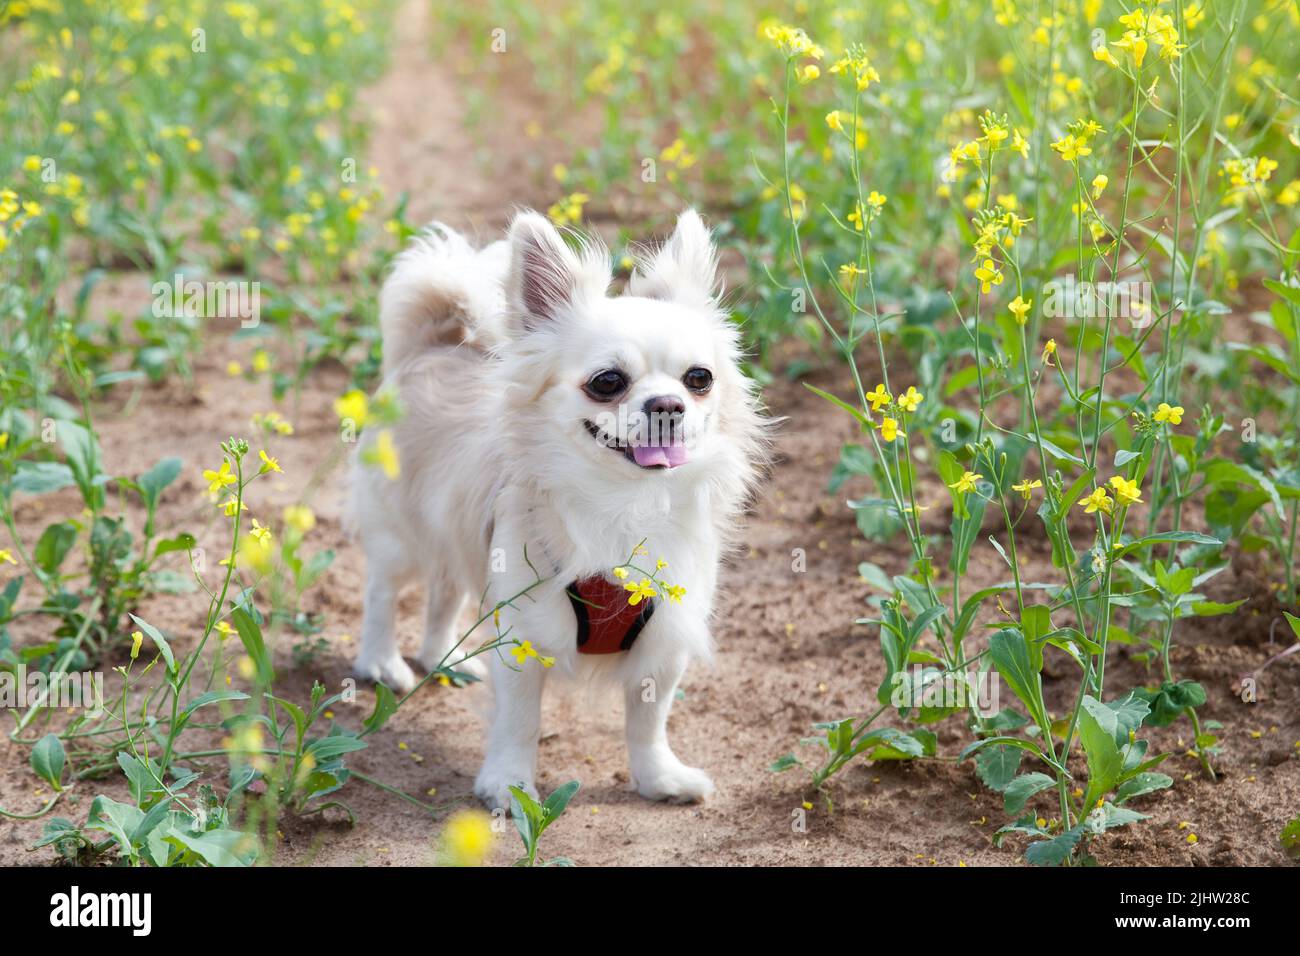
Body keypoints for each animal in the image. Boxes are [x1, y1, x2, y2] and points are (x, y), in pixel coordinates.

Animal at [351, 208, 764, 806]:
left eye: (699, 379)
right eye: (607, 382)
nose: (669, 404)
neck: (624, 505)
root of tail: (434, 345)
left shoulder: (664, 644)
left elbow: (648, 720)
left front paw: (659, 778)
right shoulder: (525, 639)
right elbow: (519, 721)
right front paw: (510, 787)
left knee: (445, 592)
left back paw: (444, 659)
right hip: (399, 536)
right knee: (383, 593)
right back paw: (382, 664)